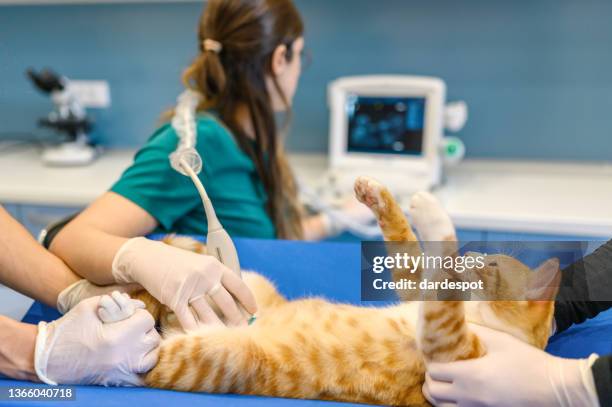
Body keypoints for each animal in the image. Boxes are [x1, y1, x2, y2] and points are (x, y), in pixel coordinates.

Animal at [133, 177, 560, 406]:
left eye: (492, 265)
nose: (472, 256)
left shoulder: (449, 345)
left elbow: (442, 276)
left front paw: (435, 215)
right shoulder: (415, 289)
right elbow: (406, 244)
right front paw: (383, 198)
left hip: (212, 355)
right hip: (249, 282)